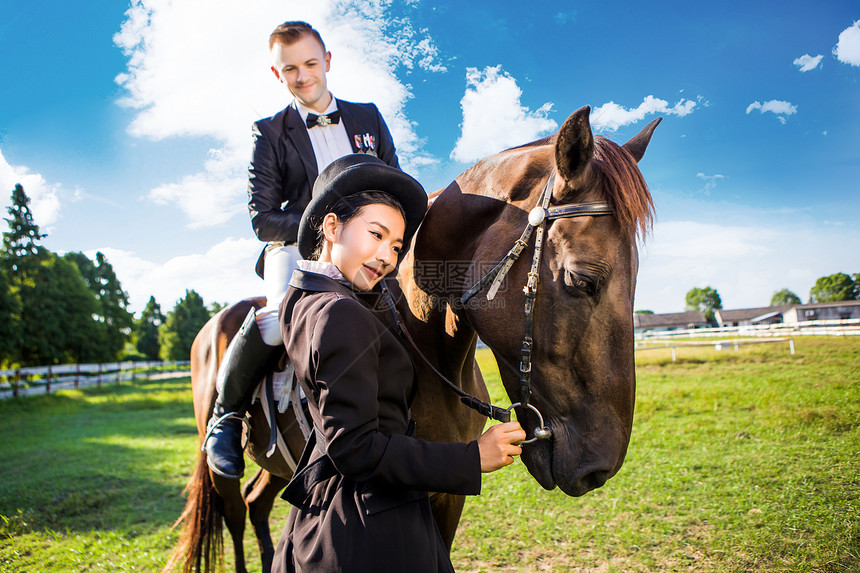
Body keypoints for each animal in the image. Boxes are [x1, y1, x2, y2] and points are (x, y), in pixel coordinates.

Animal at [163, 105, 660, 568]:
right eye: (581, 280)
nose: (600, 469)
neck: (430, 352)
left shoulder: (449, 492)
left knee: (257, 503)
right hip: (222, 464)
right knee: (234, 510)